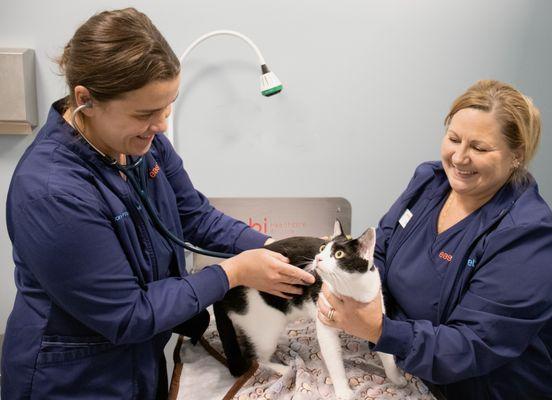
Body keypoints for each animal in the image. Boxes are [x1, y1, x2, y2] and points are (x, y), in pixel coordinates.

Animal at [213, 220, 408, 398]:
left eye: (339, 254)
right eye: (322, 248)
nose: (318, 258)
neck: (351, 291)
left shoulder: (375, 316)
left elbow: (386, 351)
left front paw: (396, 378)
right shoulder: (325, 324)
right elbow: (334, 360)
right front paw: (343, 391)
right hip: (264, 327)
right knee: (256, 359)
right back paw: (283, 369)